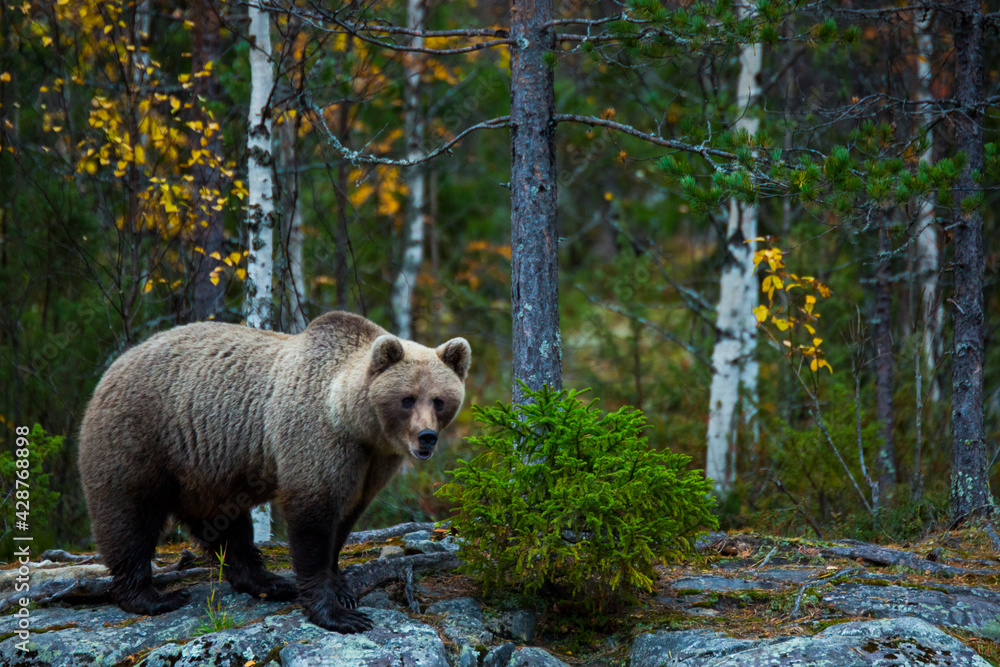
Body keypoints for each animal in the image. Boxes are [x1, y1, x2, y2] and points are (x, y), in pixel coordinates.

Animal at [78, 311, 470, 633]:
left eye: (439, 400)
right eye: (407, 398)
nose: (426, 437)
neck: (354, 422)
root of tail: (112, 367)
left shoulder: (371, 463)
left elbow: (345, 517)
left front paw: (341, 587)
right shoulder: (317, 440)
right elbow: (313, 520)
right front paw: (338, 613)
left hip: (205, 468)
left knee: (225, 525)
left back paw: (267, 581)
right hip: (140, 438)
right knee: (130, 515)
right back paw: (153, 597)